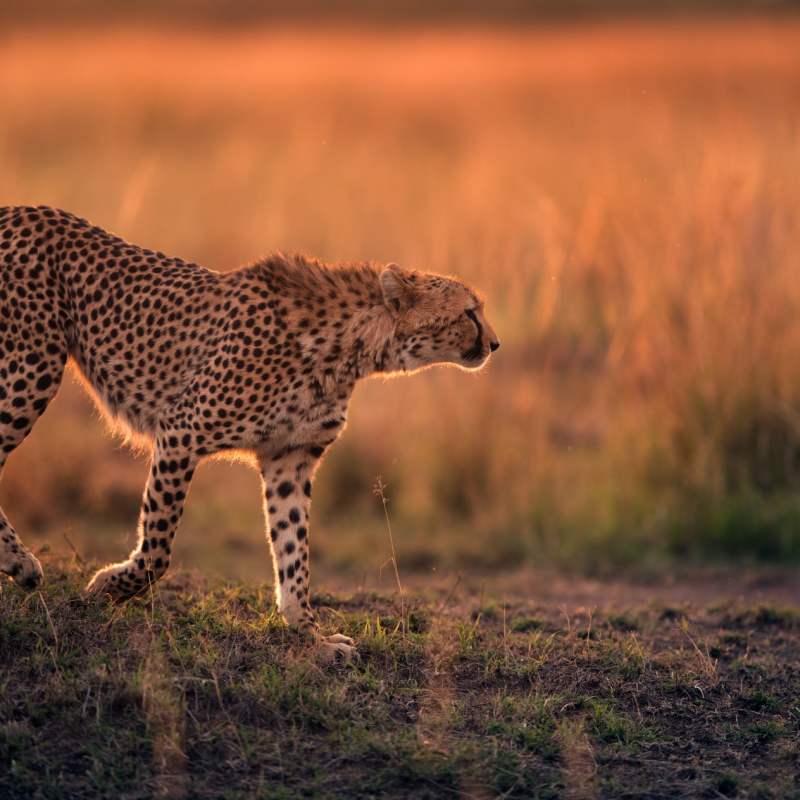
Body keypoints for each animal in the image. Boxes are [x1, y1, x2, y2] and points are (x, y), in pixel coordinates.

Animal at [0, 205, 499, 660]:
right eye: (469, 312)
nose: (495, 344)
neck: (351, 348)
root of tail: (19, 209)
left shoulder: (291, 456)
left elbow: (293, 549)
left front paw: (309, 636)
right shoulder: (181, 430)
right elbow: (159, 547)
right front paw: (108, 587)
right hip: (31, 370)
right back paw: (19, 563)